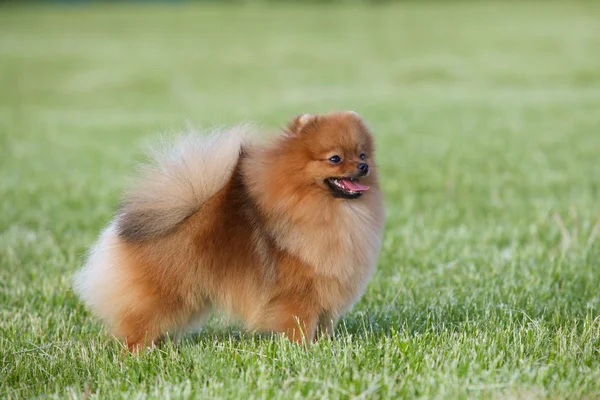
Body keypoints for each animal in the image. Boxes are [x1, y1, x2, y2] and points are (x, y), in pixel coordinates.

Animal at [72, 110, 386, 350]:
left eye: (362, 153)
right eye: (335, 158)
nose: (363, 166)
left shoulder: (326, 299)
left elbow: (323, 327)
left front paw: (322, 348)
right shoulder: (299, 296)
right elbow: (299, 325)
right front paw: (303, 352)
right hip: (163, 294)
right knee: (138, 326)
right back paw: (138, 354)